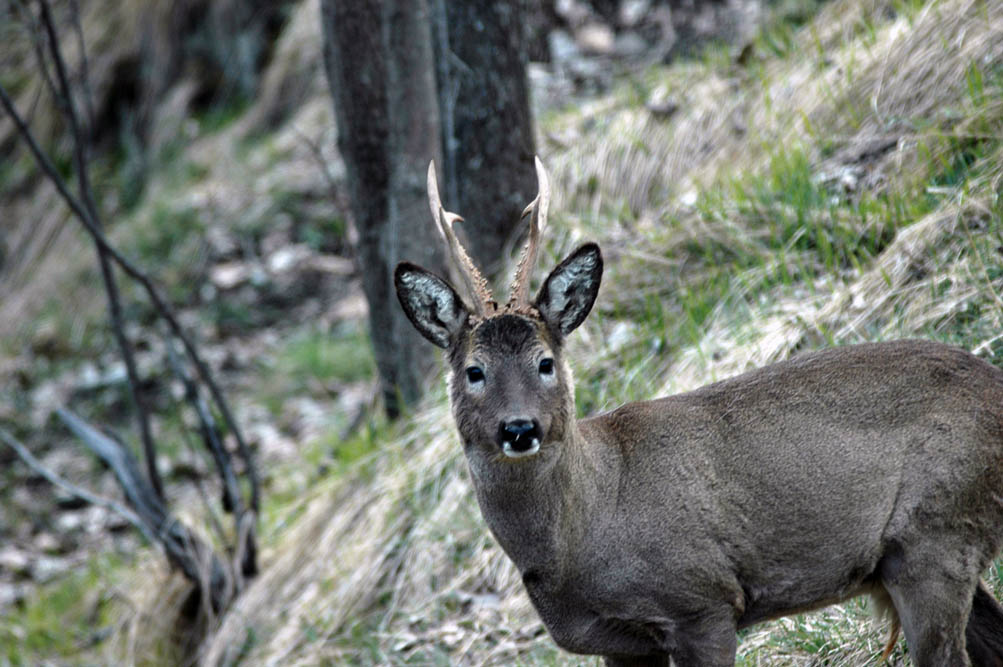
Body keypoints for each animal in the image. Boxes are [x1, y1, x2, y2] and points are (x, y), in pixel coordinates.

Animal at [393, 158, 1003, 661]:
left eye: (545, 362)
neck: (587, 527)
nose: (520, 428)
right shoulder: (620, 644)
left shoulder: (701, 601)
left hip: (937, 530)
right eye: (474, 371)